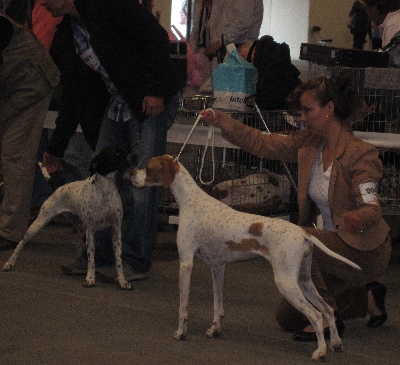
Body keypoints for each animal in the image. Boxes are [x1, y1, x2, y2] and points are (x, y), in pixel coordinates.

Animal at [3, 146, 133, 288]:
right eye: (116, 154)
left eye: (124, 151)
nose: (134, 156)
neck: (105, 190)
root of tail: (57, 187)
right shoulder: (91, 231)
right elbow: (91, 258)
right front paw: (90, 278)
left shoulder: (115, 230)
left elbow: (118, 260)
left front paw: (122, 281)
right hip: (39, 224)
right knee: (21, 243)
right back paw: (10, 263)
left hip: (81, 231)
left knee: (78, 245)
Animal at [132, 154, 362, 362]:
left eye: (148, 167)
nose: (132, 174)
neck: (191, 201)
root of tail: (303, 232)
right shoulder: (218, 267)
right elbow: (217, 304)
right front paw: (215, 329)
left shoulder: (186, 263)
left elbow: (183, 306)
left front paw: (181, 333)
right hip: (304, 281)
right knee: (328, 310)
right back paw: (335, 343)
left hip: (286, 283)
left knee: (315, 315)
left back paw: (320, 352)